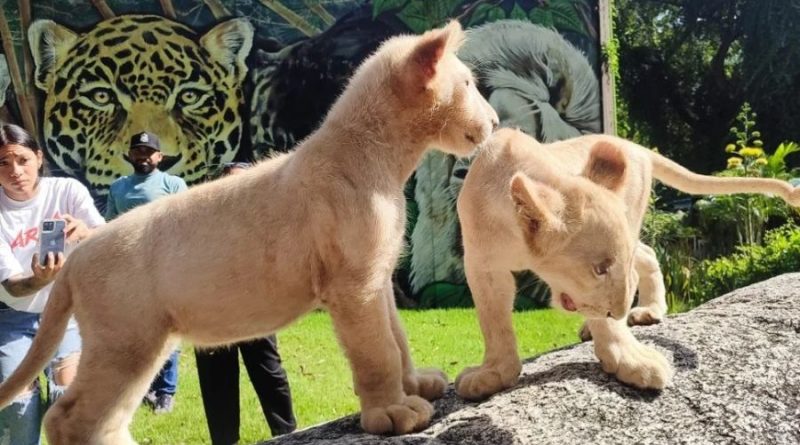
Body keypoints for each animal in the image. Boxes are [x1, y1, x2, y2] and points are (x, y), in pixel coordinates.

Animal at [0, 21, 498, 443]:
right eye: (468, 85)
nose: (494, 122)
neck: (386, 159)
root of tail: (76, 257)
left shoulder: (376, 278)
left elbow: (398, 340)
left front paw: (417, 385)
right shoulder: (353, 286)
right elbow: (377, 351)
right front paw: (393, 413)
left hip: (141, 346)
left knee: (100, 416)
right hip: (122, 343)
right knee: (68, 417)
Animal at [454, 128, 799, 401]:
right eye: (599, 268)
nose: (620, 311)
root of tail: (634, 145)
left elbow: (605, 318)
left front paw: (632, 360)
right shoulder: (482, 265)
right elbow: (494, 322)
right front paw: (493, 375)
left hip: (632, 216)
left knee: (644, 255)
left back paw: (648, 311)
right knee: (647, 253)